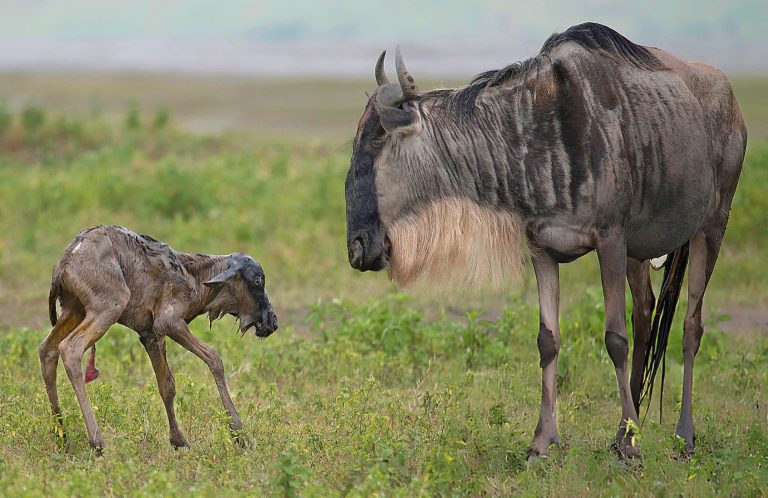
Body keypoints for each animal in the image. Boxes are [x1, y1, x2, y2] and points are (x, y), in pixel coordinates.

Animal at [39, 226, 280, 452]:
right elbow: (214, 358)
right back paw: (97, 442)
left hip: (74, 311)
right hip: (108, 308)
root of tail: (66, 259)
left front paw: (179, 440)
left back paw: (62, 436)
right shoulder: (169, 323)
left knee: (47, 350)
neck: (194, 277)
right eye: (258, 281)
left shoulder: (150, 335)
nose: (272, 322)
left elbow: (167, 385)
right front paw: (239, 434)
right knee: (70, 349)